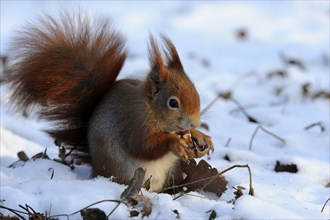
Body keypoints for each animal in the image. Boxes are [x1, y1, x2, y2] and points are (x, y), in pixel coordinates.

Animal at [5, 11, 214, 192]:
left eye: (195, 91)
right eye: (173, 103)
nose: (195, 122)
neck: (152, 109)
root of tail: (95, 170)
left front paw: (201, 136)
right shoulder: (134, 121)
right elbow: (143, 146)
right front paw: (174, 142)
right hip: (123, 170)